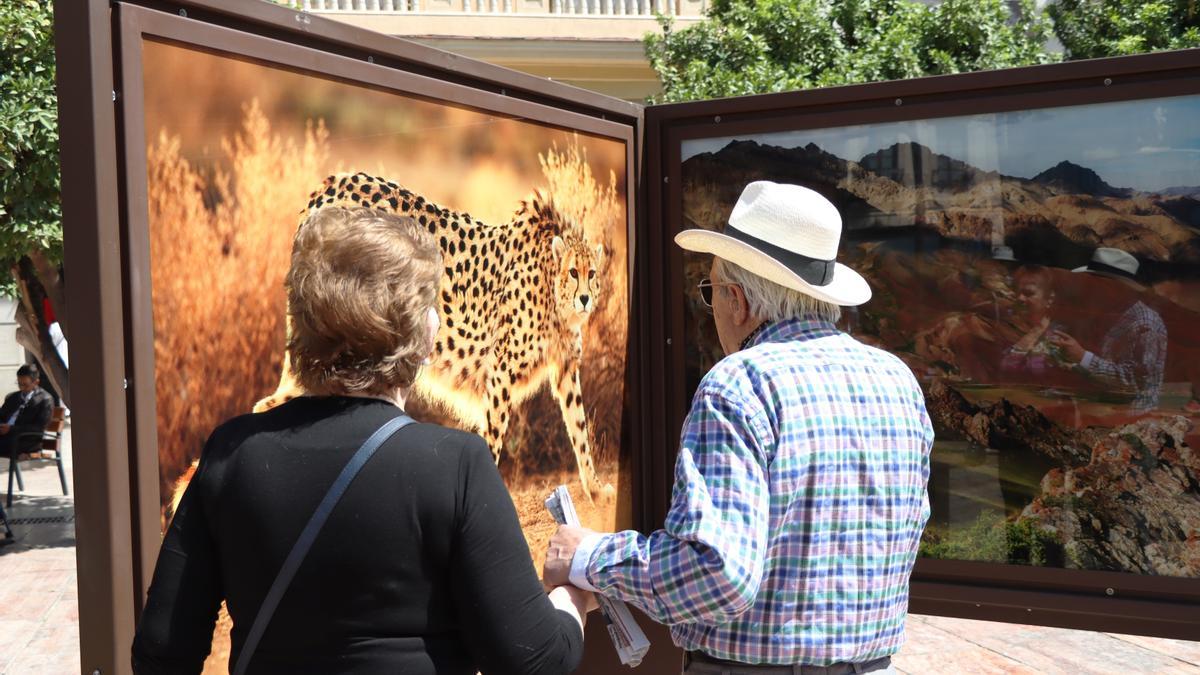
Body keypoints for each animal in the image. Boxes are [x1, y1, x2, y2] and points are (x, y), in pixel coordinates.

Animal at [252, 171, 609, 499]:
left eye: (592, 274)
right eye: (573, 272)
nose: (585, 299)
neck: (554, 294)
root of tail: (336, 180)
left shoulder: (565, 369)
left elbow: (579, 427)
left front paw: (594, 488)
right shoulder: (501, 372)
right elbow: (495, 432)